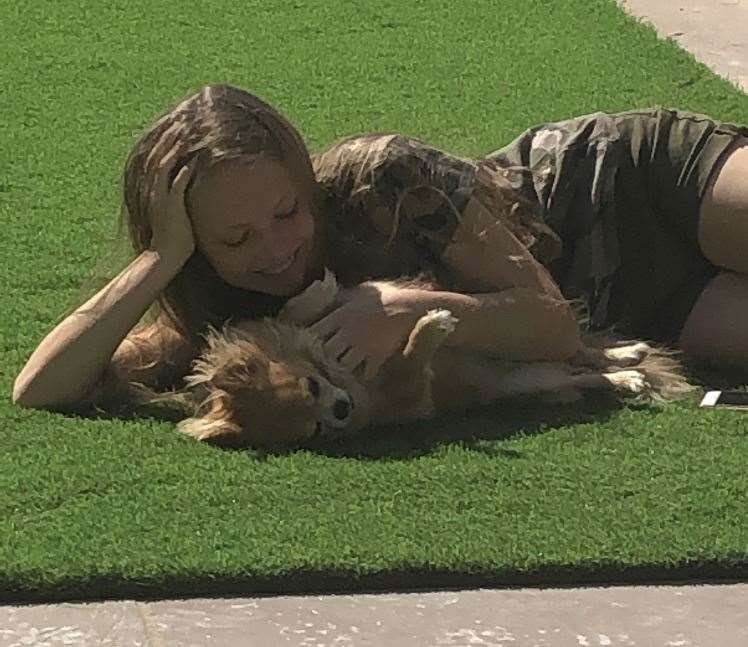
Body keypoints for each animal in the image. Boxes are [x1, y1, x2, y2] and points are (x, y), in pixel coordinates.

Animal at [140, 270, 696, 450]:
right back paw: (626, 377)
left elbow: (300, 308)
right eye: (317, 429)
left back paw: (627, 354)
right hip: (534, 377)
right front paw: (430, 328)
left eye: (314, 388)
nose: (342, 411)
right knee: (587, 372)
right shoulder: (413, 395)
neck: (351, 377)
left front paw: (315, 293)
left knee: (584, 349)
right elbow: (413, 359)